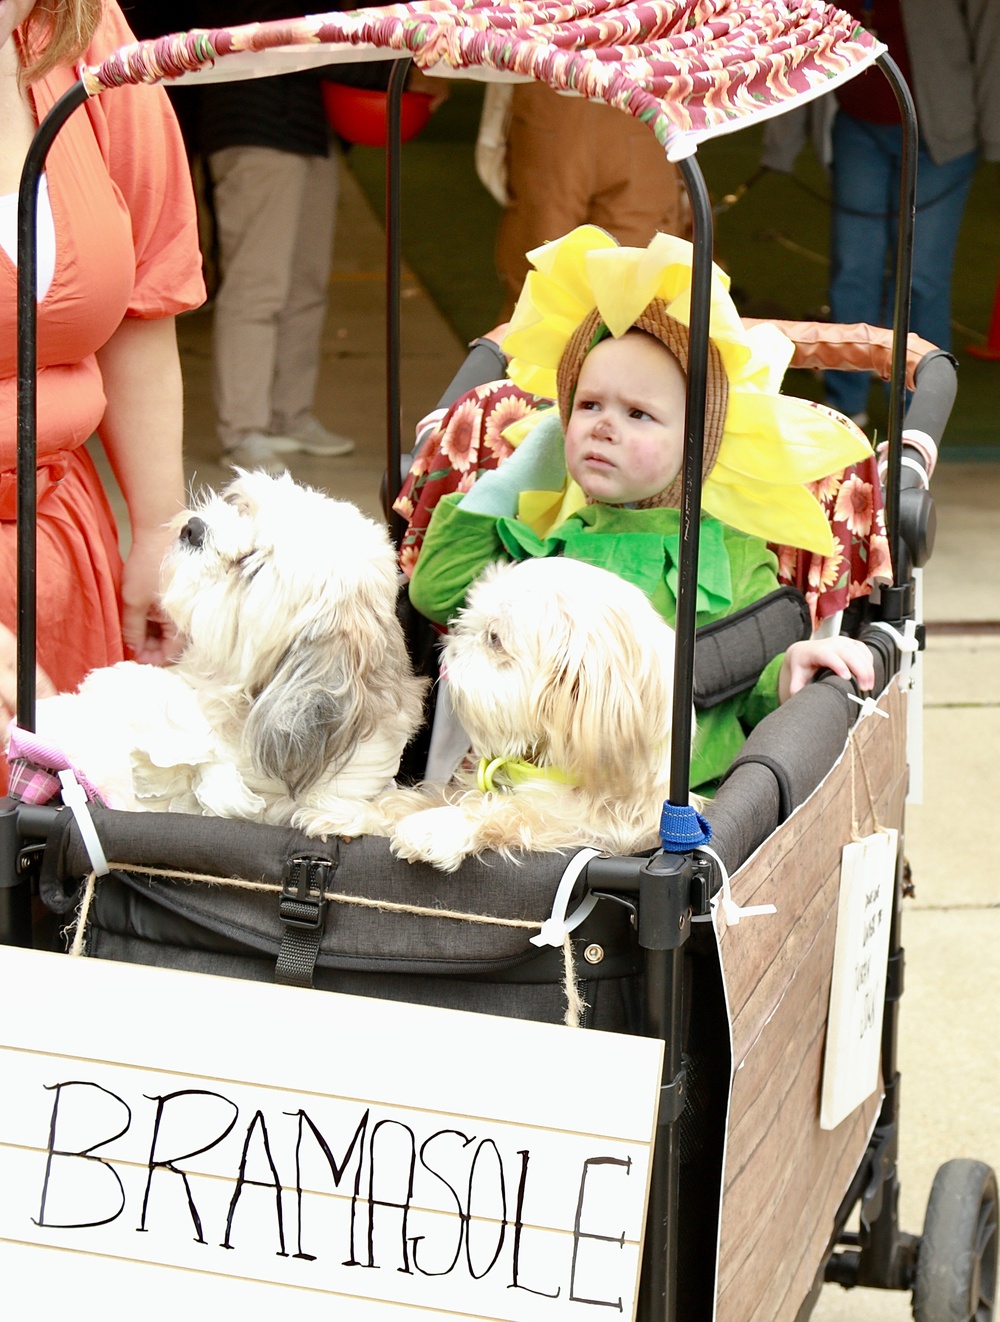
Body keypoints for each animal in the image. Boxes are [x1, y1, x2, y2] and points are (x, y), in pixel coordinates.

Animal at [386, 555, 693, 872]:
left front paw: (442, 826)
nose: (451, 643)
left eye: (494, 638)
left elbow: (521, 811)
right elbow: (435, 796)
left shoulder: (597, 826)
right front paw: (378, 809)